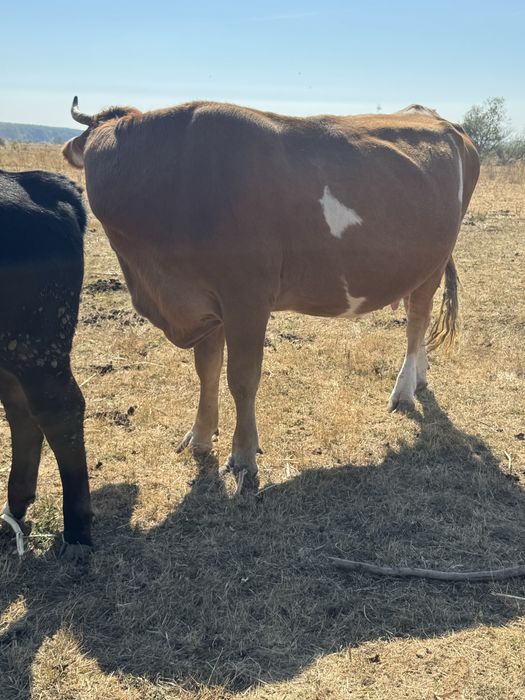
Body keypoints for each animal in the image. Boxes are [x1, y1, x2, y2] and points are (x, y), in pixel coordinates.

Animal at [63, 98, 480, 488]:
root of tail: (439, 119)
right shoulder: (206, 303)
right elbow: (207, 371)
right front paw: (200, 437)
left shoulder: (246, 298)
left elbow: (242, 378)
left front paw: (243, 456)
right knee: (419, 320)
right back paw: (420, 378)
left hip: (432, 263)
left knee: (416, 322)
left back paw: (403, 390)